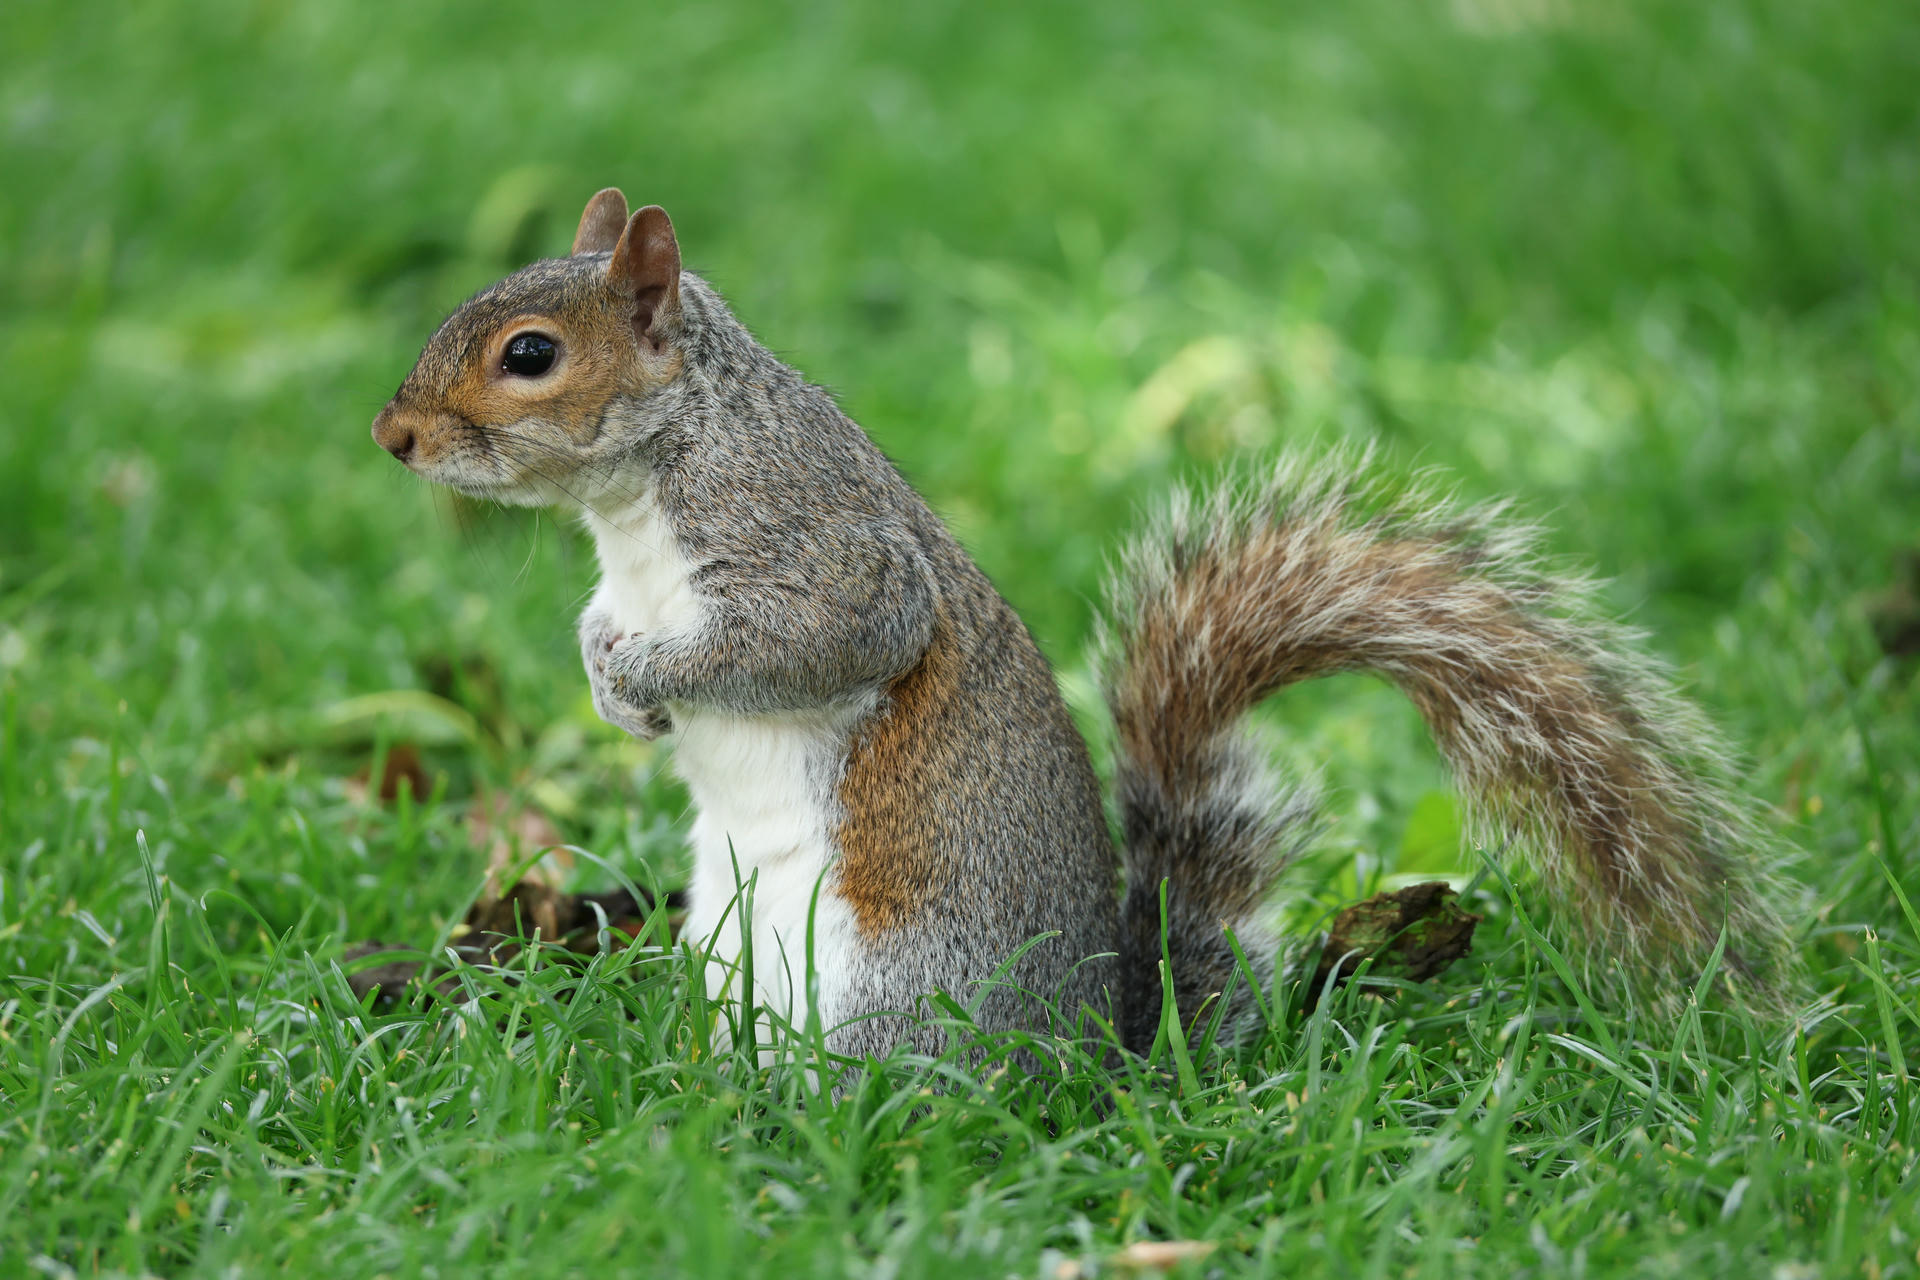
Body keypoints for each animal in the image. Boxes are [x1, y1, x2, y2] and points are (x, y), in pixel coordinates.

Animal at [371, 187, 1798, 1058]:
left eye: (531, 354)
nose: (393, 436)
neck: (641, 494)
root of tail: (1095, 1057)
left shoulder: (823, 550)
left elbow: (811, 642)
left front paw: (660, 673)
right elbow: (599, 627)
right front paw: (611, 677)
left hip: (900, 986)